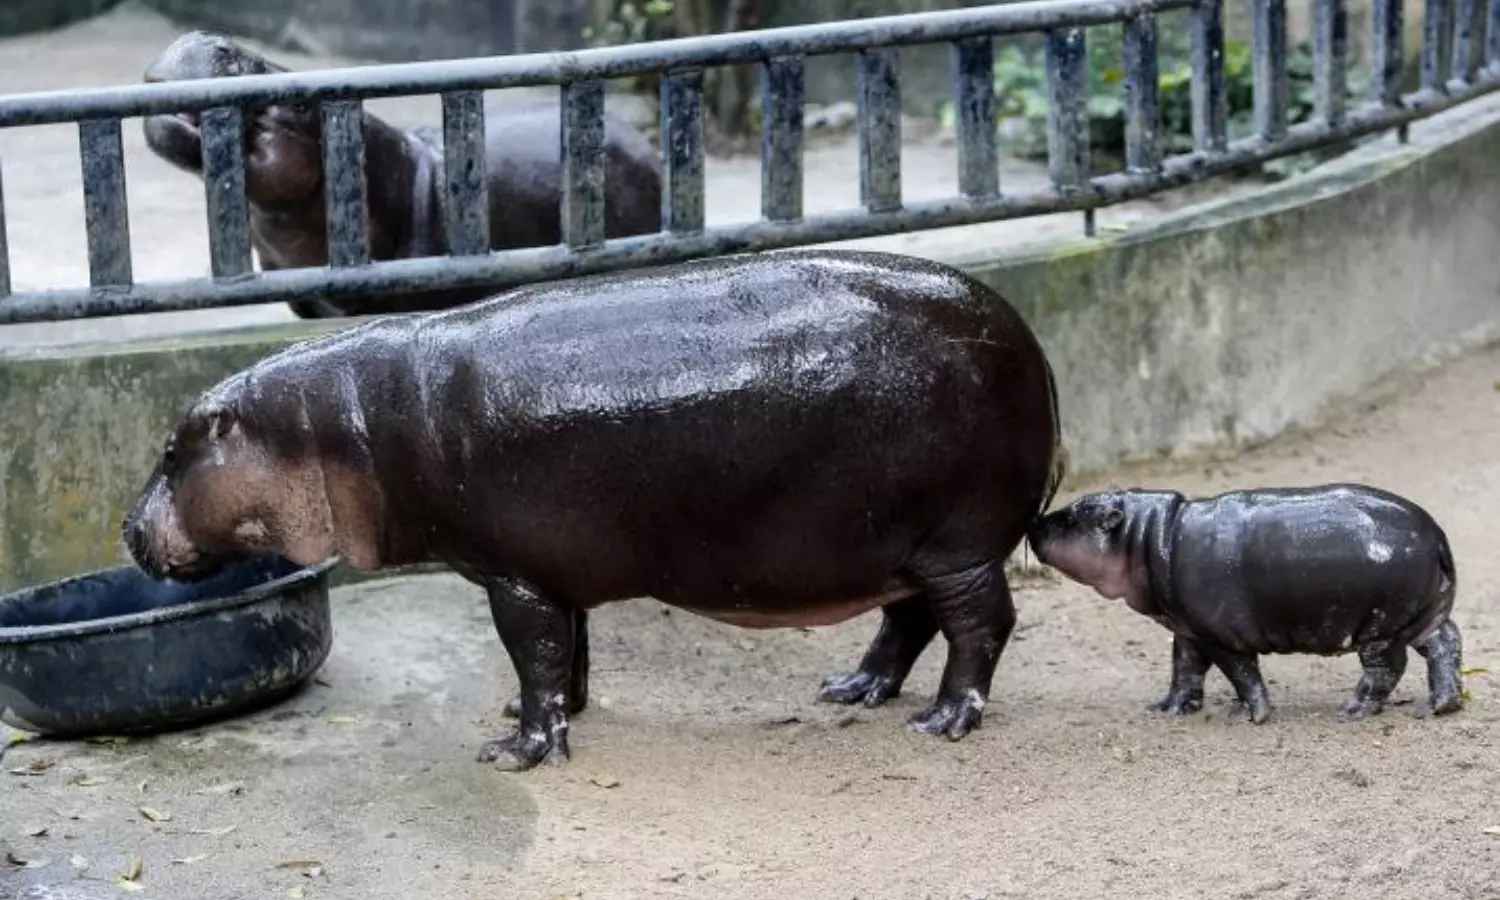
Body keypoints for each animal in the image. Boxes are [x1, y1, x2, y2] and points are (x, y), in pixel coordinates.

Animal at [126, 249, 1068, 768]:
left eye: (172, 451)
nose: (127, 527)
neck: (337, 424)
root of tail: (1033, 343)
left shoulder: (513, 575)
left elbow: (532, 653)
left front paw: (516, 753)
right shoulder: (552, 571)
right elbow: (565, 654)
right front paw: (541, 718)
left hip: (958, 543)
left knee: (981, 626)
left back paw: (942, 721)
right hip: (898, 546)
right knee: (907, 622)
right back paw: (853, 689)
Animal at [1026, 477, 1458, 723]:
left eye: (1072, 517)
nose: (1034, 521)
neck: (1147, 537)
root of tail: (1435, 533)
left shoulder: (1222, 636)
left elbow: (1242, 675)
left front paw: (1252, 716)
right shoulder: (1188, 632)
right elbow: (1184, 671)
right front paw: (1167, 710)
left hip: (1379, 627)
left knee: (1386, 668)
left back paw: (1352, 712)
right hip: (1423, 616)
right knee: (1445, 644)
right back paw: (1439, 706)